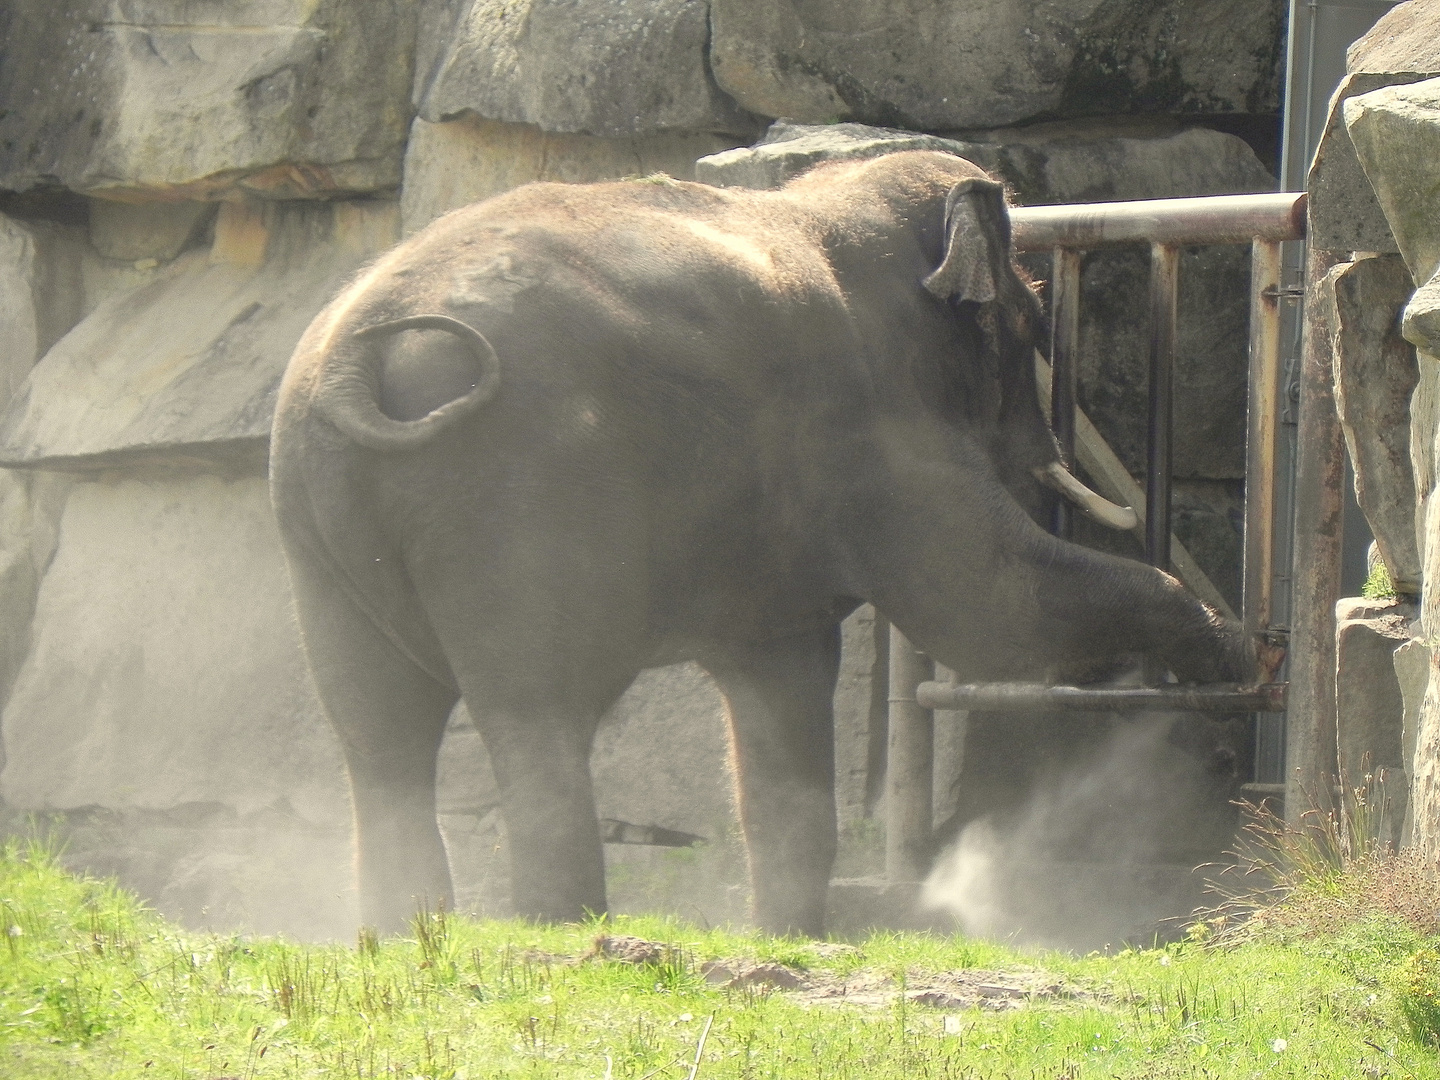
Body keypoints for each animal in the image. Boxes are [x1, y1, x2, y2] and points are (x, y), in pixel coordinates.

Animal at [267, 150, 1249, 938]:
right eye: (1034, 324)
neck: (836, 201)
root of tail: (358, 361)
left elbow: (785, 681)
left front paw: (792, 935)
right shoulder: (877, 430)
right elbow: (990, 613)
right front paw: (1236, 663)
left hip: (317, 524)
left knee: (377, 732)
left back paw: (405, 928)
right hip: (515, 488)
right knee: (535, 713)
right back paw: (563, 927)